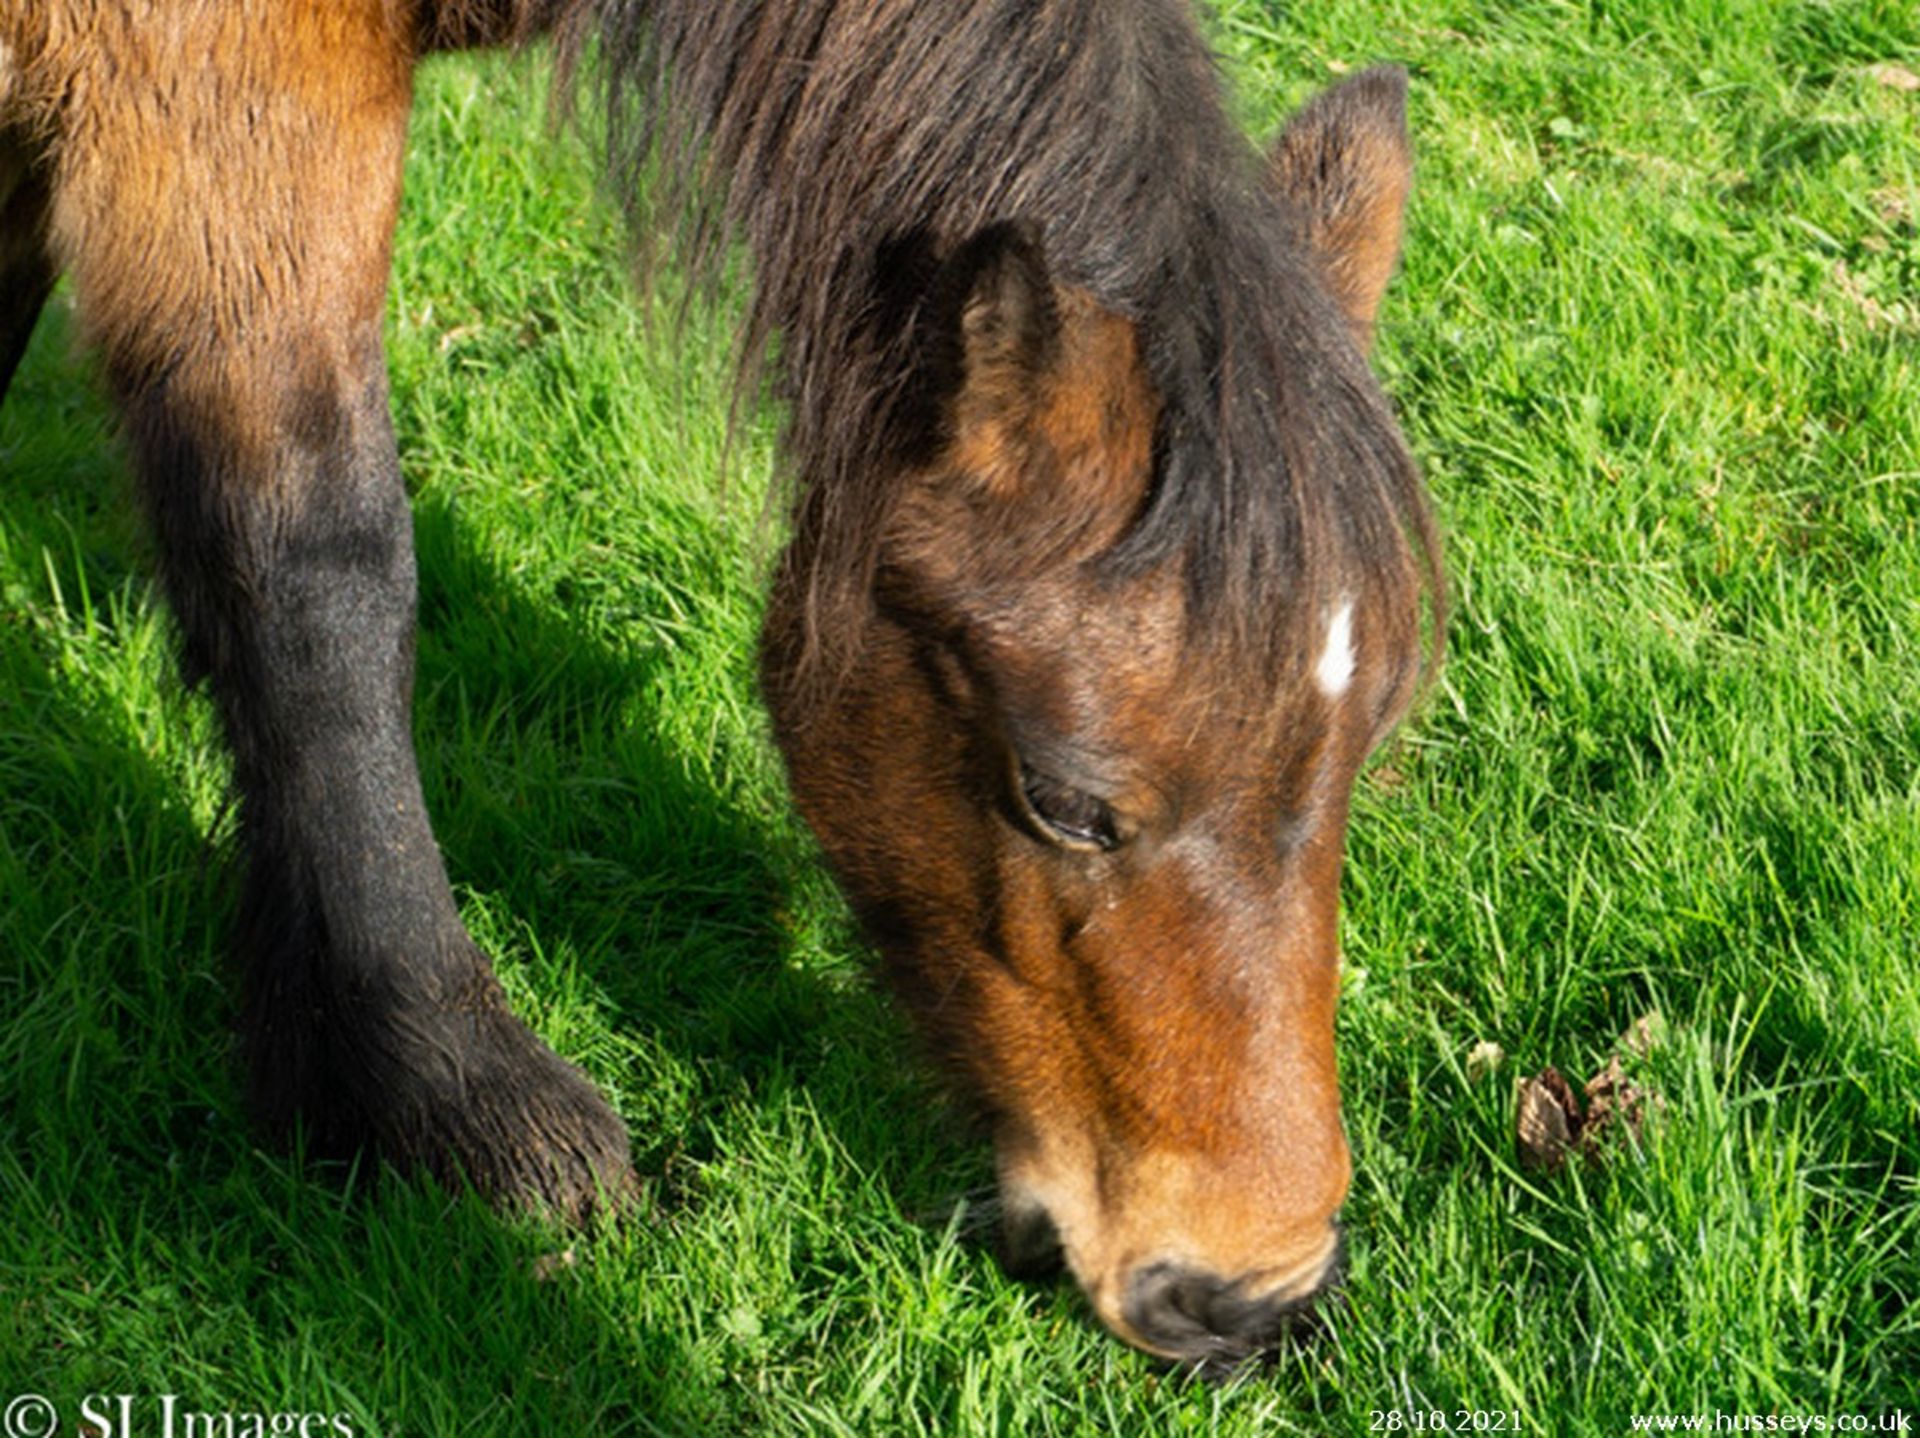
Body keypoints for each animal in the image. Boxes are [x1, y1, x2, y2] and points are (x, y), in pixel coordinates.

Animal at [0, 0, 1443, 1366]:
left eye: (1357, 760)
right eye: (1067, 802)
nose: (1248, 1292)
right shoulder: (227, 87)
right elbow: (320, 559)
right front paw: (448, 1090)